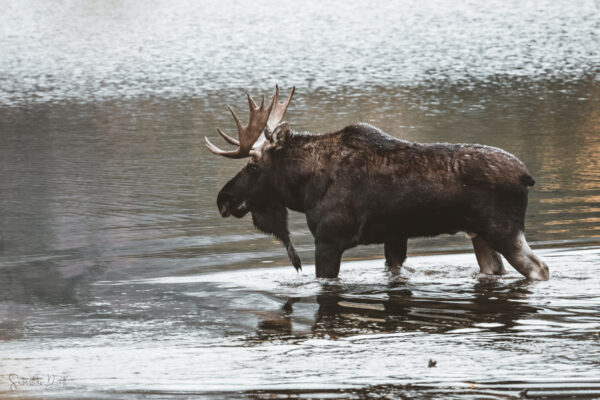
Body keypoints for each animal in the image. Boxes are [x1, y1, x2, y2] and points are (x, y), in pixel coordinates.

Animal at [209, 86, 552, 282]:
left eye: (253, 165)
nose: (223, 198)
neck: (303, 188)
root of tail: (526, 176)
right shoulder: (394, 236)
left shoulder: (329, 240)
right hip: (479, 234)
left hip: (503, 229)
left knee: (540, 268)